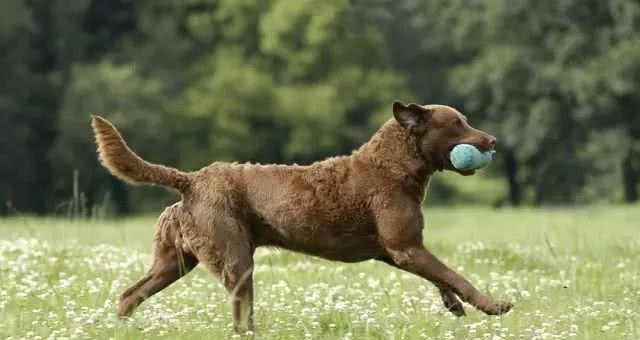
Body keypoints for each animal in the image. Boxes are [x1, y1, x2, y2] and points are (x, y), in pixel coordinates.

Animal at [91, 101, 510, 332]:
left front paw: (454, 305)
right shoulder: (405, 246)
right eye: (456, 124)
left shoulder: (396, 250)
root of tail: (191, 179)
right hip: (235, 260)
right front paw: (493, 306)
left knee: (130, 294)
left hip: (175, 261)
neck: (393, 166)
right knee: (240, 317)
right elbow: (454, 274)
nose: (493, 140)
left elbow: (441, 277)